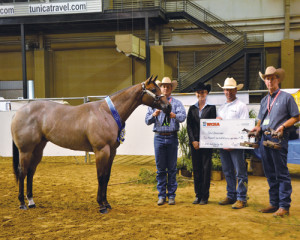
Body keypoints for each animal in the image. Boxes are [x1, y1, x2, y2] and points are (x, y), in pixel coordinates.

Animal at [11, 75, 171, 214]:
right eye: (154, 89)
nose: (168, 106)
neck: (107, 113)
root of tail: (18, 112)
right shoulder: (101, 151)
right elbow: (100, 176)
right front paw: (101, 205)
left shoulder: (112, 152)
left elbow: (106, 177)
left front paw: (107, 203)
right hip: (25, 150)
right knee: (22, 172)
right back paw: (22, 203)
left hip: (38, 149)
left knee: (31, 172)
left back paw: (31, 201)